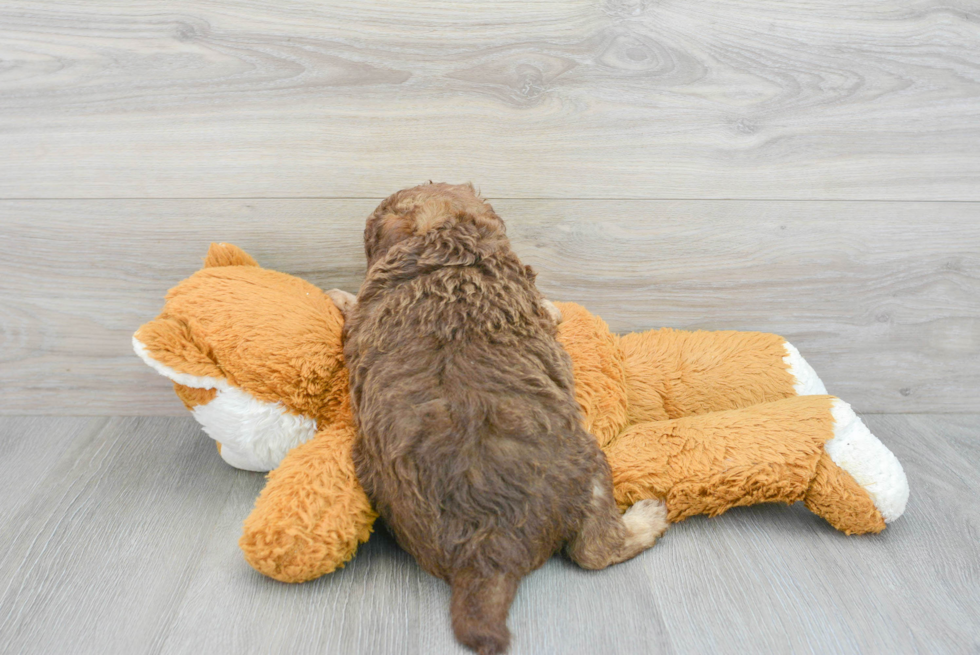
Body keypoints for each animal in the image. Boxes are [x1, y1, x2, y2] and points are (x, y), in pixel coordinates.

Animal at [342, 182, 668, 652]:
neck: (447, 242)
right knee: (594, 551)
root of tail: (487, 553)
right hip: (590, 465)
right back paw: (648, 519)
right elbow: (550, 310)